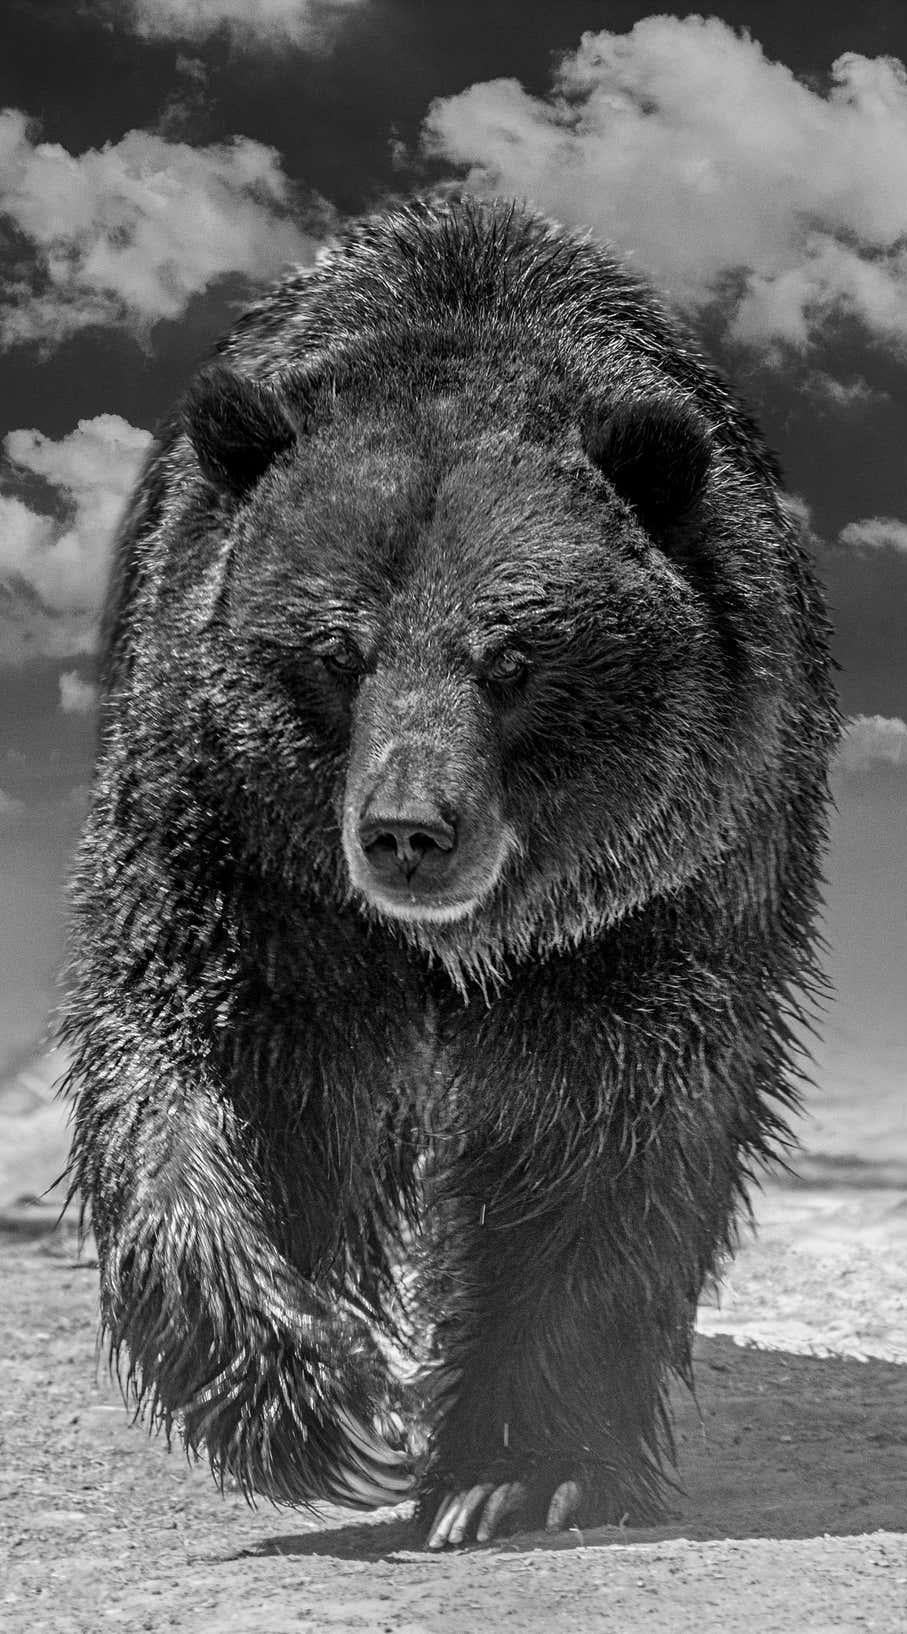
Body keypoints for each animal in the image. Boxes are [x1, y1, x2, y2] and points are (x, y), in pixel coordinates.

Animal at [61, 194, 841, 1548]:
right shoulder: (246, 867)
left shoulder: (658, 904)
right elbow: (201, 1067)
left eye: (514, 656)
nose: (407, 829)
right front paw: (318, 1399)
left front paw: (520, 1465)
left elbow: (603, 1135)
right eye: (337, 651)